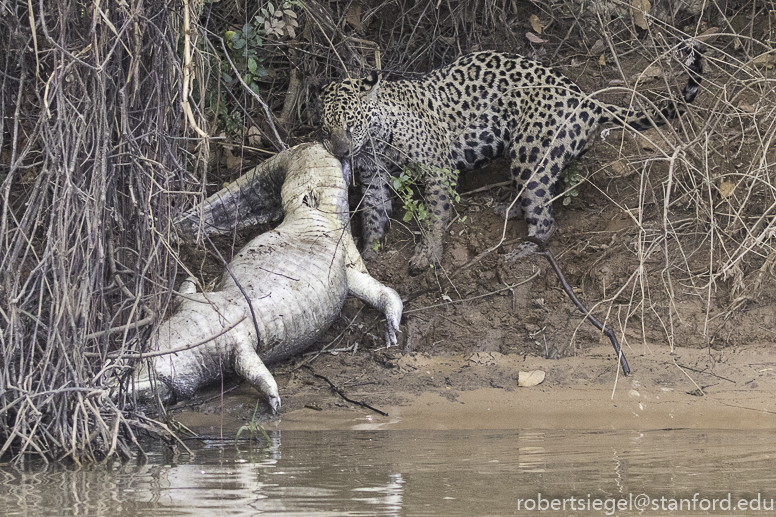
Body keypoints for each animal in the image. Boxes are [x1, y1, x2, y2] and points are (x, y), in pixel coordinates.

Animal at [320, 44, 704, 273]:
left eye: (351, 125)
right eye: (326, 128)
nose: (341, 153)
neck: (377, 138)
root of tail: (588, 100)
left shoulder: (438, 169)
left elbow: (434, 217)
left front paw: (427, 254)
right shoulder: (374, 177)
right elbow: (372, 213)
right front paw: (369, 252)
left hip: (529, 151)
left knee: (545, 216)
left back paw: (523, 249)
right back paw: (510, 208)